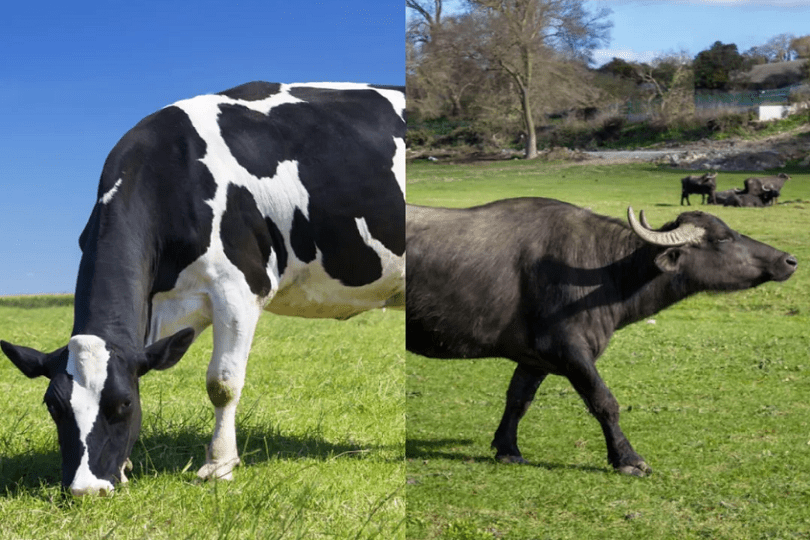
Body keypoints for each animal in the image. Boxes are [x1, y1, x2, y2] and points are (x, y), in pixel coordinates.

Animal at [406, 198, 797, 476]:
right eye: (722, 239)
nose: (789, 260)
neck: (605, 271)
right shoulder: (569, 350)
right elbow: (604, 401)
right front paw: (628, 459)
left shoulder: (535, 358)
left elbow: (518, 400)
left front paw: (508, 449)